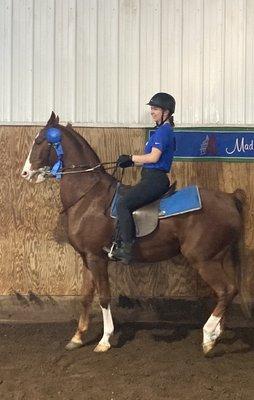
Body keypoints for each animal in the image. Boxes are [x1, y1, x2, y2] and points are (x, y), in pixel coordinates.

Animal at [20, 111, 247, 354]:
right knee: (227, 292)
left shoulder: (97, 258)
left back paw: (207, 336)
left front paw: (104, 340)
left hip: (203, 260)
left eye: (39, 141)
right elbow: (86, 296)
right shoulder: (86, 258)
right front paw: (78, 337)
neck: (88, 197)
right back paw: (216, 334)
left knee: (226, 290)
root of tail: (229, 198)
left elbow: (103, 297)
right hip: (218, 257)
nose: (25, 173)